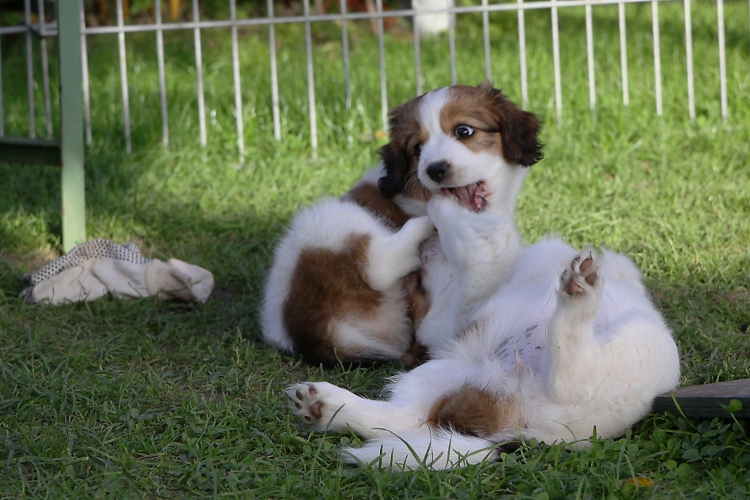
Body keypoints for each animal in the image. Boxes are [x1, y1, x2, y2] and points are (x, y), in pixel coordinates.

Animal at [262, 82, 544, 366]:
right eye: (417, 148)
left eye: (464, 131)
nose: (435, 169)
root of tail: (313, 334)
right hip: (328, 219)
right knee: (376, 264)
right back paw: (422, 226)